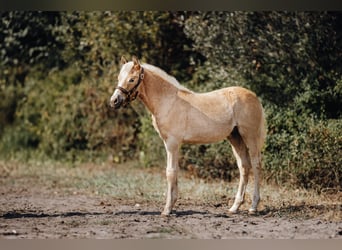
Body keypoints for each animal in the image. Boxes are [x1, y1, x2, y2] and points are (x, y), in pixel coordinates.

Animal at [109, 56, 268, 215]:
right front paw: (172, 204)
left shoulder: (172, 143)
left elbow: (170, 172)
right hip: (235, 137)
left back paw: (253, 207)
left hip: (250, 136)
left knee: (256, 165)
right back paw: (235, 207)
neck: (168, 101)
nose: (114, 101)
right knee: (244, 166)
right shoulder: (173, 144)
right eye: (118, 78)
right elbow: (175, 171)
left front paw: (167, 210)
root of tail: (254, 97)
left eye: (132, 79)